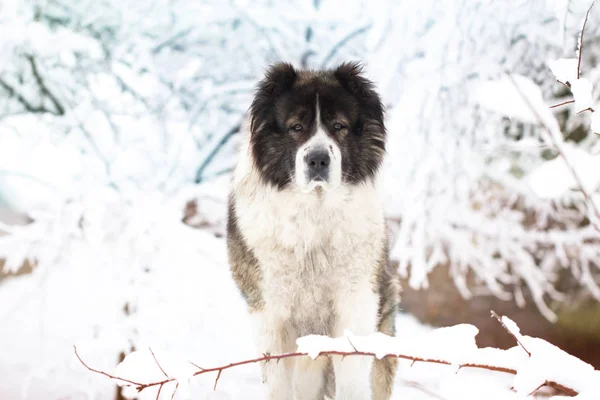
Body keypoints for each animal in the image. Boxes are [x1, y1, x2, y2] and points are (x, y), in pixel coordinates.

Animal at [225, 60, 398, 400]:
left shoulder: (355, 305)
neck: (314, 214)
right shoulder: (270, 316)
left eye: (339, 126)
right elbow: (277, 382)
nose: (317, 159)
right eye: (296, 127)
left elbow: (351, 375)